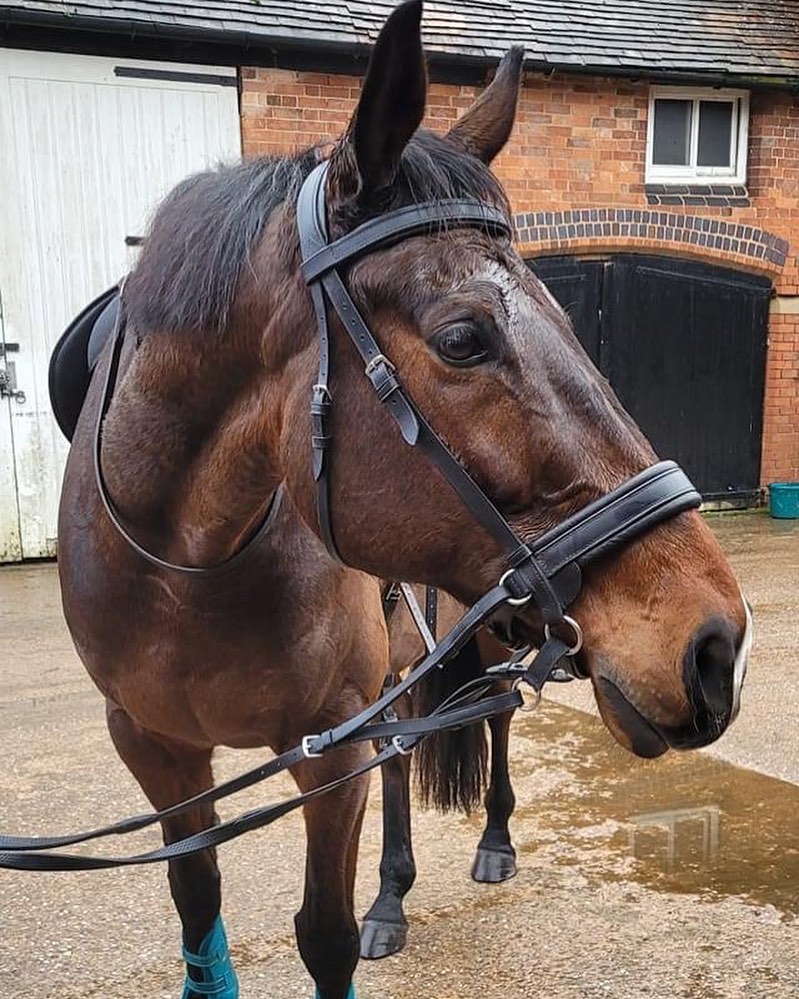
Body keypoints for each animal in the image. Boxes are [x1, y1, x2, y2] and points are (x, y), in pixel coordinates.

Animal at [50, 1, 751, 996]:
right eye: (462, 338)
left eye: (563, 313)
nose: (715, 642)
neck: (187, 565)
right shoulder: (157, 752)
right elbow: (198, 909)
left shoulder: (331, 746)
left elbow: (325, 934)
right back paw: (394, 892)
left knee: (495, 718)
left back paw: (489, 841)